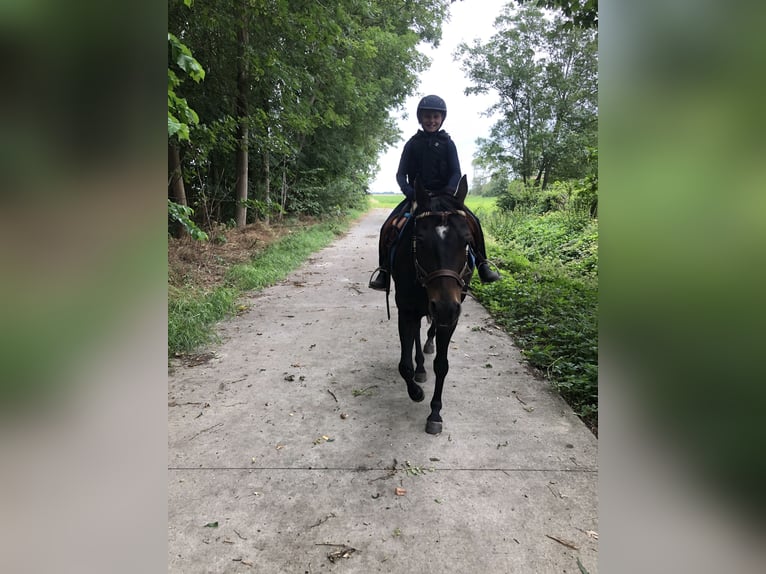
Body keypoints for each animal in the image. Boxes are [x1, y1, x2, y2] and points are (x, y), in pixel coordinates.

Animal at [391, 174, 475, 434]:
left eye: (467, 240)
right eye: (419, 240)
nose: (445, 307)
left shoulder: (451, 317)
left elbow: (442, 365)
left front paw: (435, 413)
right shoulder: (406, 311)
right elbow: (404, 365)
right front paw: (416, 391)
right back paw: (420, 368)